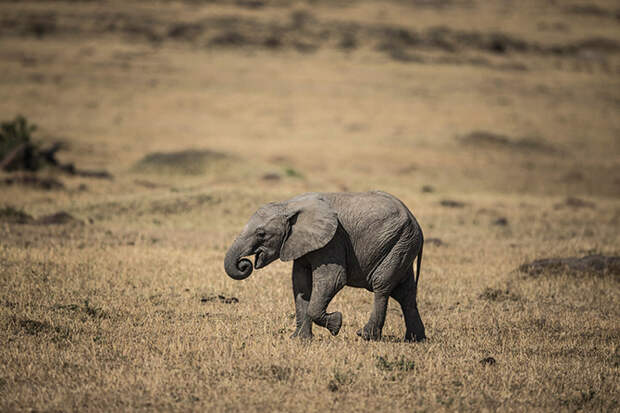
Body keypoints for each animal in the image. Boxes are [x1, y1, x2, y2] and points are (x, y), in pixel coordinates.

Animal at [224, 190, 426, 342]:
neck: (288, 206)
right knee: (405, 293)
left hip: (399, 243)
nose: (244, 264)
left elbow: (333, 278)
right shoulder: (301, 243)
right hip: (401, 246)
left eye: (261, 234)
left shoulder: (333, 240)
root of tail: (416, 223)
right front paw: (299, 340)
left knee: (381, 285)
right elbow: (300, 284)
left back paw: (366, 336)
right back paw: (415, 340)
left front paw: (337, 324)